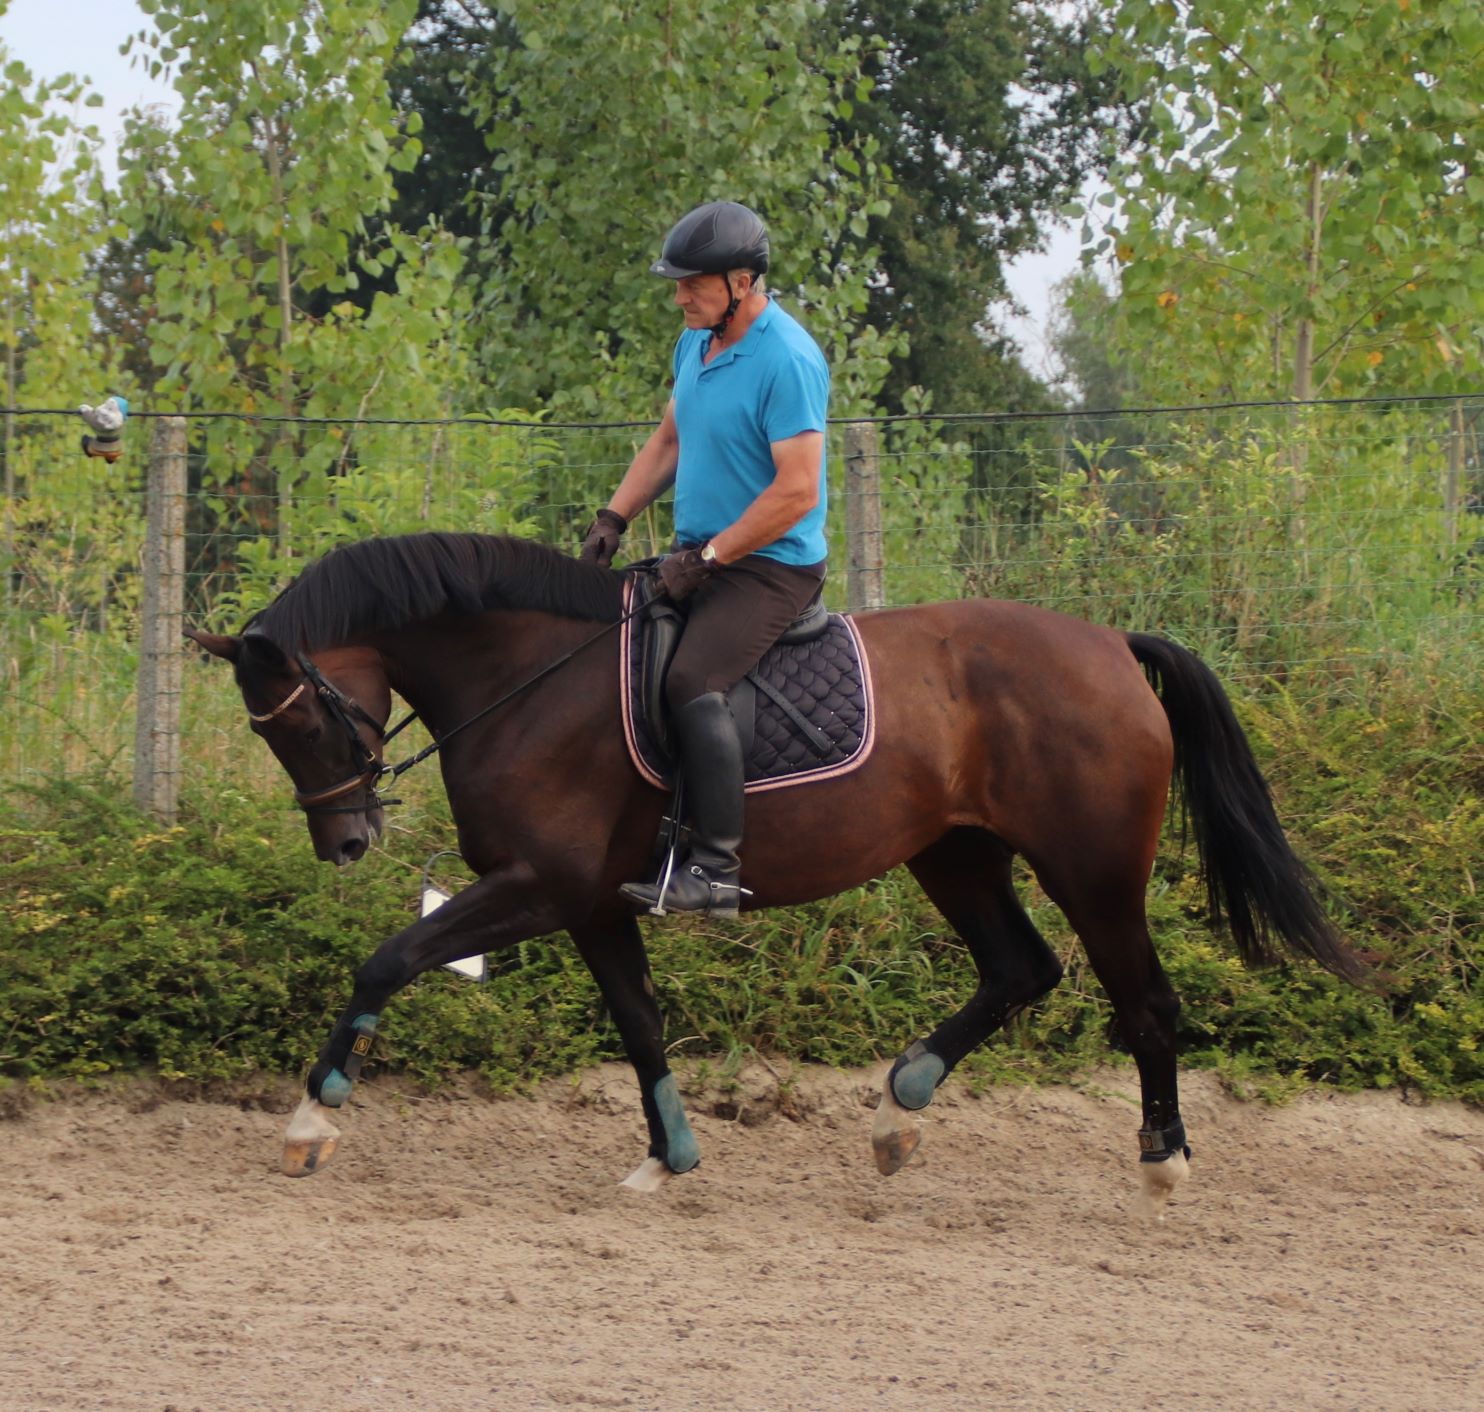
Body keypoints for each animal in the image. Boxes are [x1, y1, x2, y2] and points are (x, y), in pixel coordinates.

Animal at [185, 534, 1359, 1217]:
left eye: (305, 721)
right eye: (271, 733)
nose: (345, 844)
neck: (525, 675)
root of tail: (1111, 644)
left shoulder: (536, 884)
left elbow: (388, 960)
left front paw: (311, 1120)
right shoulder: (588, 901)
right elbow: (640, 1021)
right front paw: (668, 1155)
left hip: (1094, 867)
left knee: (1143, 1001)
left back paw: (1161, 1160)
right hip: (953, 852)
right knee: (1021, 970)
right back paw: (898, 1108)